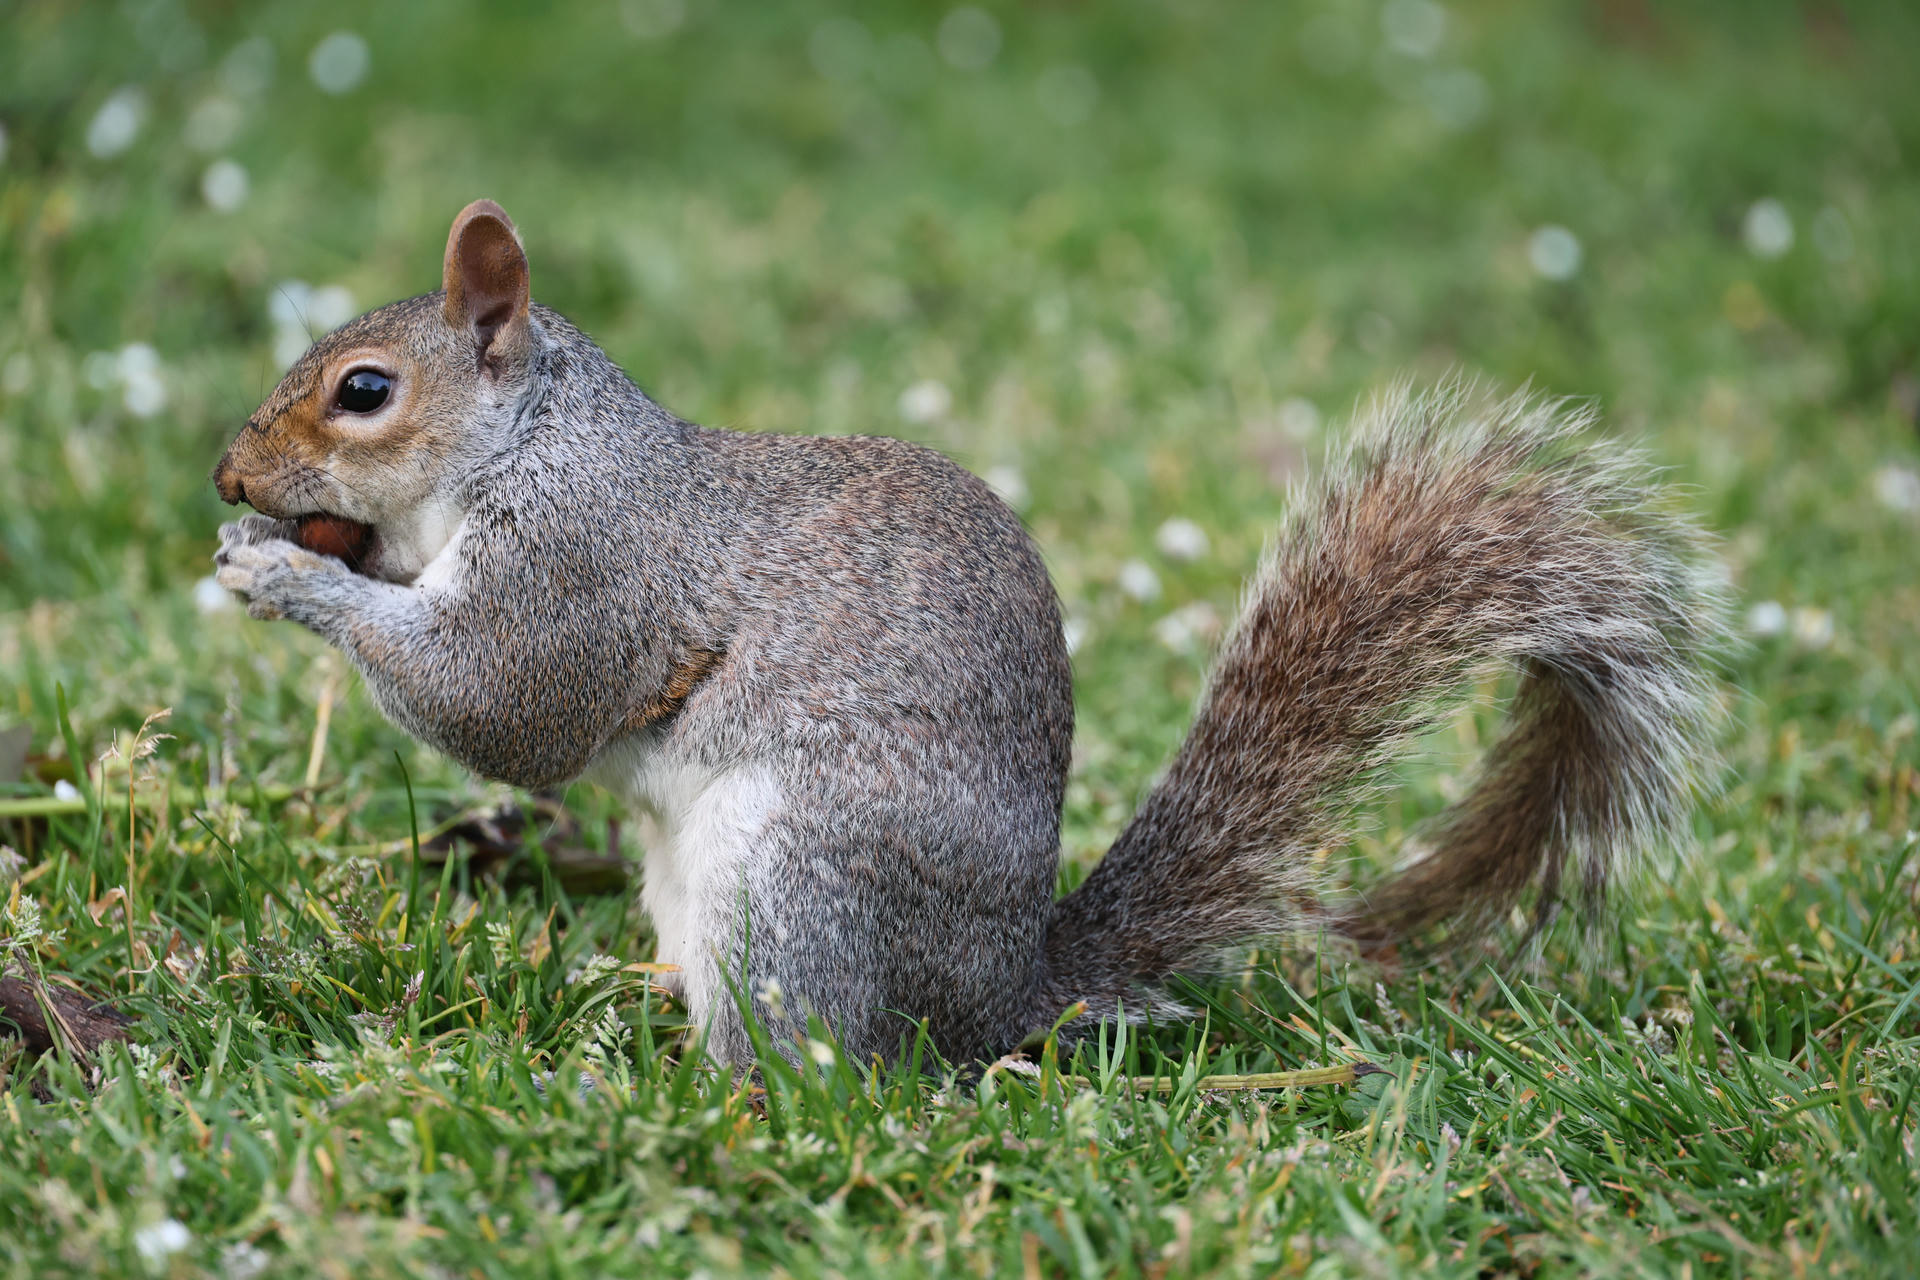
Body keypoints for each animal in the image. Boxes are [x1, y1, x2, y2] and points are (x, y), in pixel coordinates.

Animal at [213, 200, 1729, 1068]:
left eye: (364, 390)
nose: (230, 479)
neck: (528, 443)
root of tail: (1011, 996)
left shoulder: (583, 568)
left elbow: (502, 704)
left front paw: (286, 580)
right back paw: (624, 1003)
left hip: (798, 881)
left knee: (829, 1063)